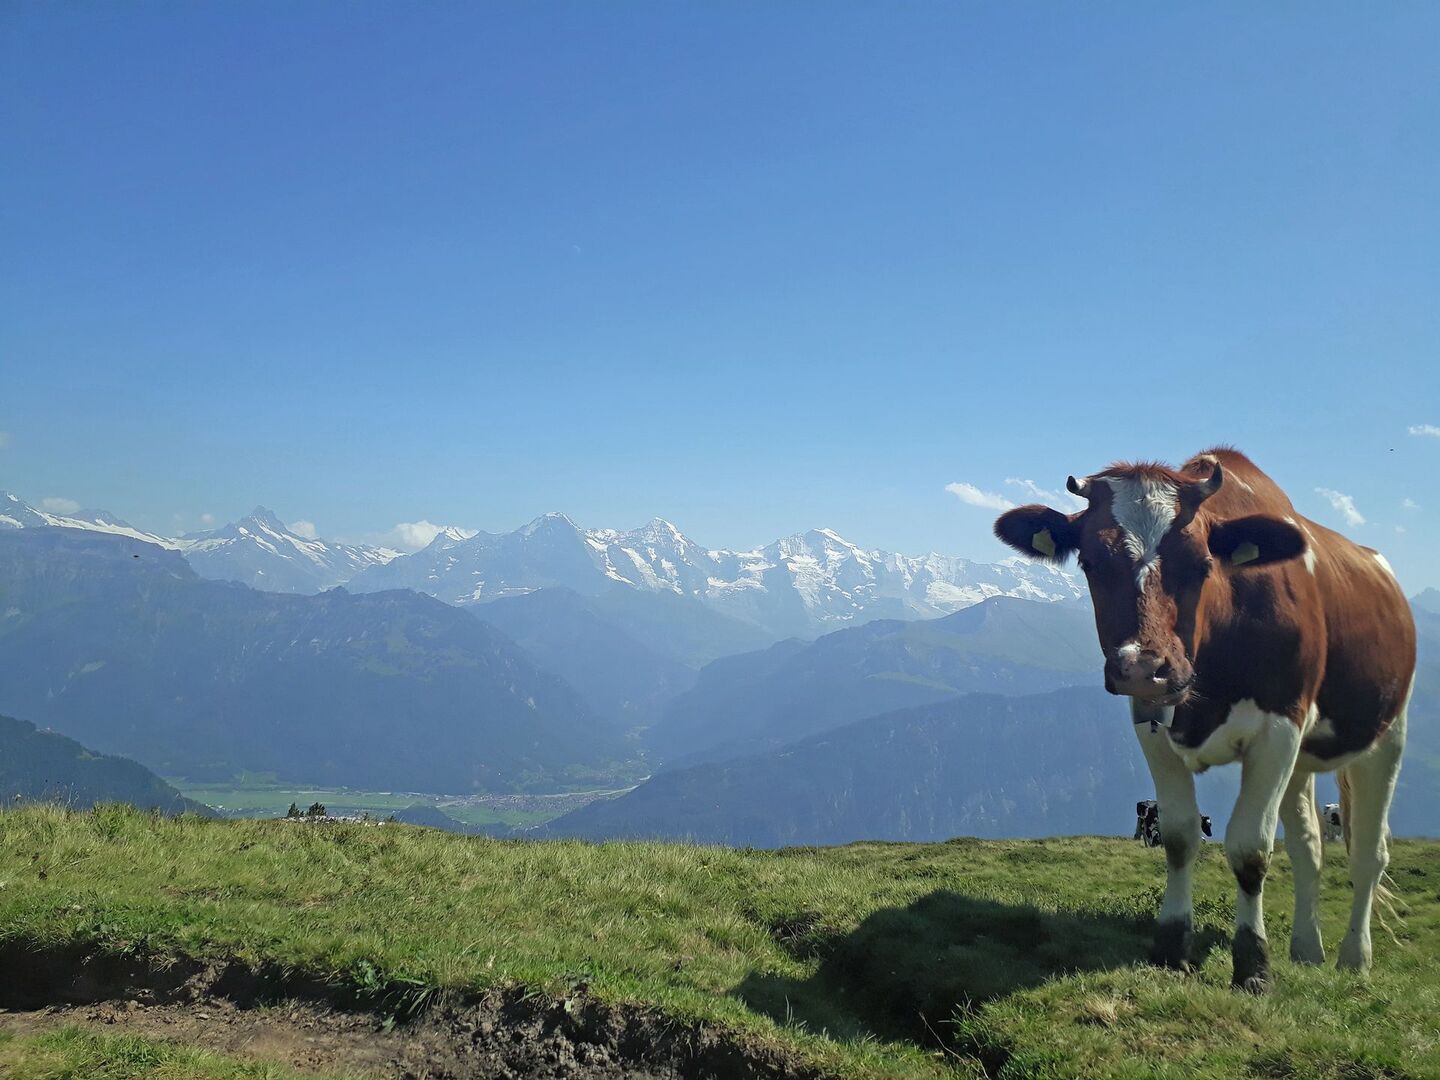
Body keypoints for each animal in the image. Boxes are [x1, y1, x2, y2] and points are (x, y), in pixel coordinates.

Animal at [995, 447, 1414, 992]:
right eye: (1090, 562)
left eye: (1200, 564)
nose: (1142, 667)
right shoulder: (1152, 725)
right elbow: (1179, 837)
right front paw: (1172, 947)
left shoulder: (1279, 728)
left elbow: (1251, 850)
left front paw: (1253, 967)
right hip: (1301, 760)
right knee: (1309, 847)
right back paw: (1306, 950)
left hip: (1386, 735)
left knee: (1369, 851)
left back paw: (1354, 958)